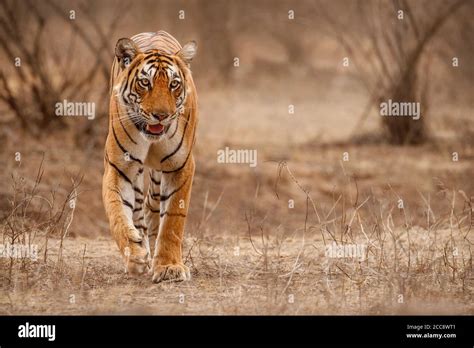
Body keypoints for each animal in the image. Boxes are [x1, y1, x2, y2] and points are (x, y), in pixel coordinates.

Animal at [102, 30, 198, 282]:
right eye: (145, 82)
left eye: (174, 84)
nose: (161, 115)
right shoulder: (118, 168)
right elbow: (117, 212)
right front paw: (135, 254)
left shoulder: (180, 166)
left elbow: (173, 220)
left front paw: (169, 267)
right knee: (137, 208)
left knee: (152, 204)